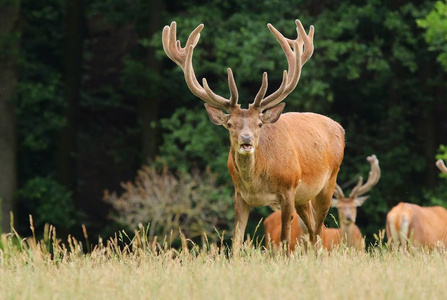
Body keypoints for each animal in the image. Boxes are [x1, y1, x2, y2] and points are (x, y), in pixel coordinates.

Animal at [162, 19, 346, 252]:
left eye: (259, 124)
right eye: (230, 124)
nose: (246, 140)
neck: (257, 183)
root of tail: (340, 128)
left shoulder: (288, 189)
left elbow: (284, 239)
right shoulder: (239, 194)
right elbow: (236, 241)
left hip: (328, 182)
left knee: (319, 229)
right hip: (304, 197)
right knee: (313, 229)